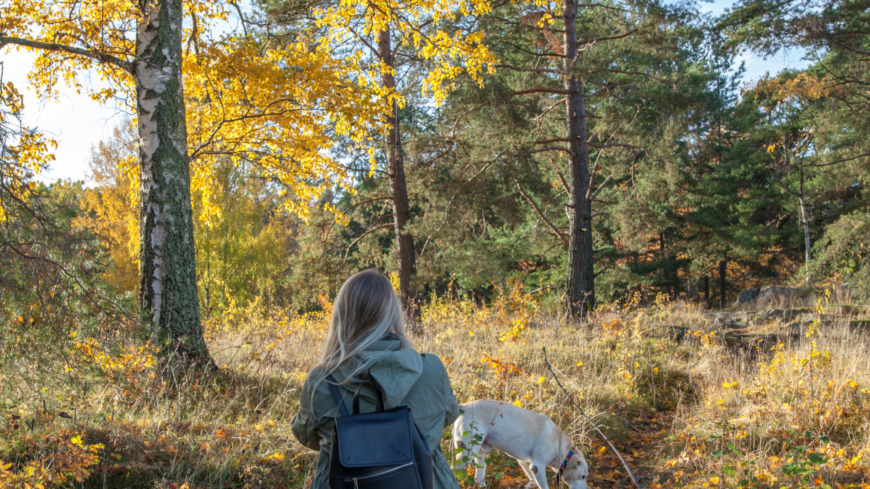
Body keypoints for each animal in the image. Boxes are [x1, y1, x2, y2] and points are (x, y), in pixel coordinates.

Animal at [454, 398, 588, 486]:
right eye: (583, 476)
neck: (559, 444)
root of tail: (463, 406)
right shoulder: (538, 466)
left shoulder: (525, 462)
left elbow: (533, 481)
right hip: (467, 452)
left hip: (479, 453)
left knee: (479, 477)